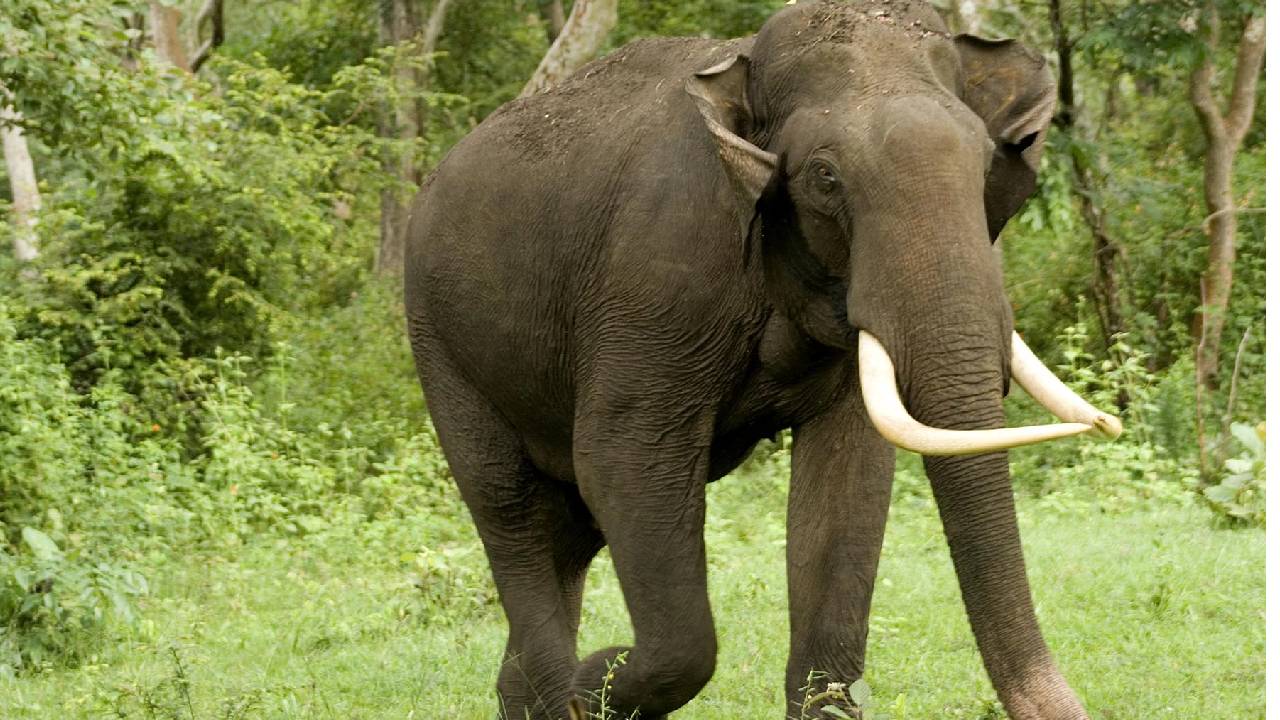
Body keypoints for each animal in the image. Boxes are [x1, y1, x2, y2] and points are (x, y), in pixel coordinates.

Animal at [399, 2, 1121, 712]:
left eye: (983, 165)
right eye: (825, 177)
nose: (1109, 423)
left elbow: (848, 477)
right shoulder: (654, 275)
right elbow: (623, 458)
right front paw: (596, 680)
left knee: (569, 531)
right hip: (438, 340)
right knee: (510, 505)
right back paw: (559, 691)